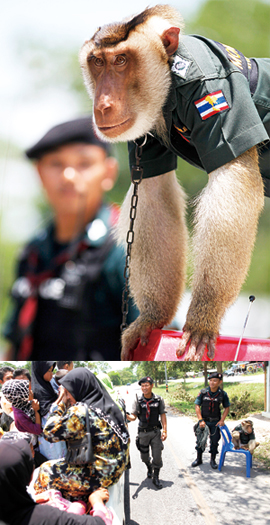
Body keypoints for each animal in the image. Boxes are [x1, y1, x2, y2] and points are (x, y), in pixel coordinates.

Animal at [79, 4, 270, 360]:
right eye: (98, 62)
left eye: (121, 60)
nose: (103, 103)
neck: (168, 83)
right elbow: (153, 193)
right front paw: (153, 318)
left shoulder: (214, 86)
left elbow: (232, 177)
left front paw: (203, 317)